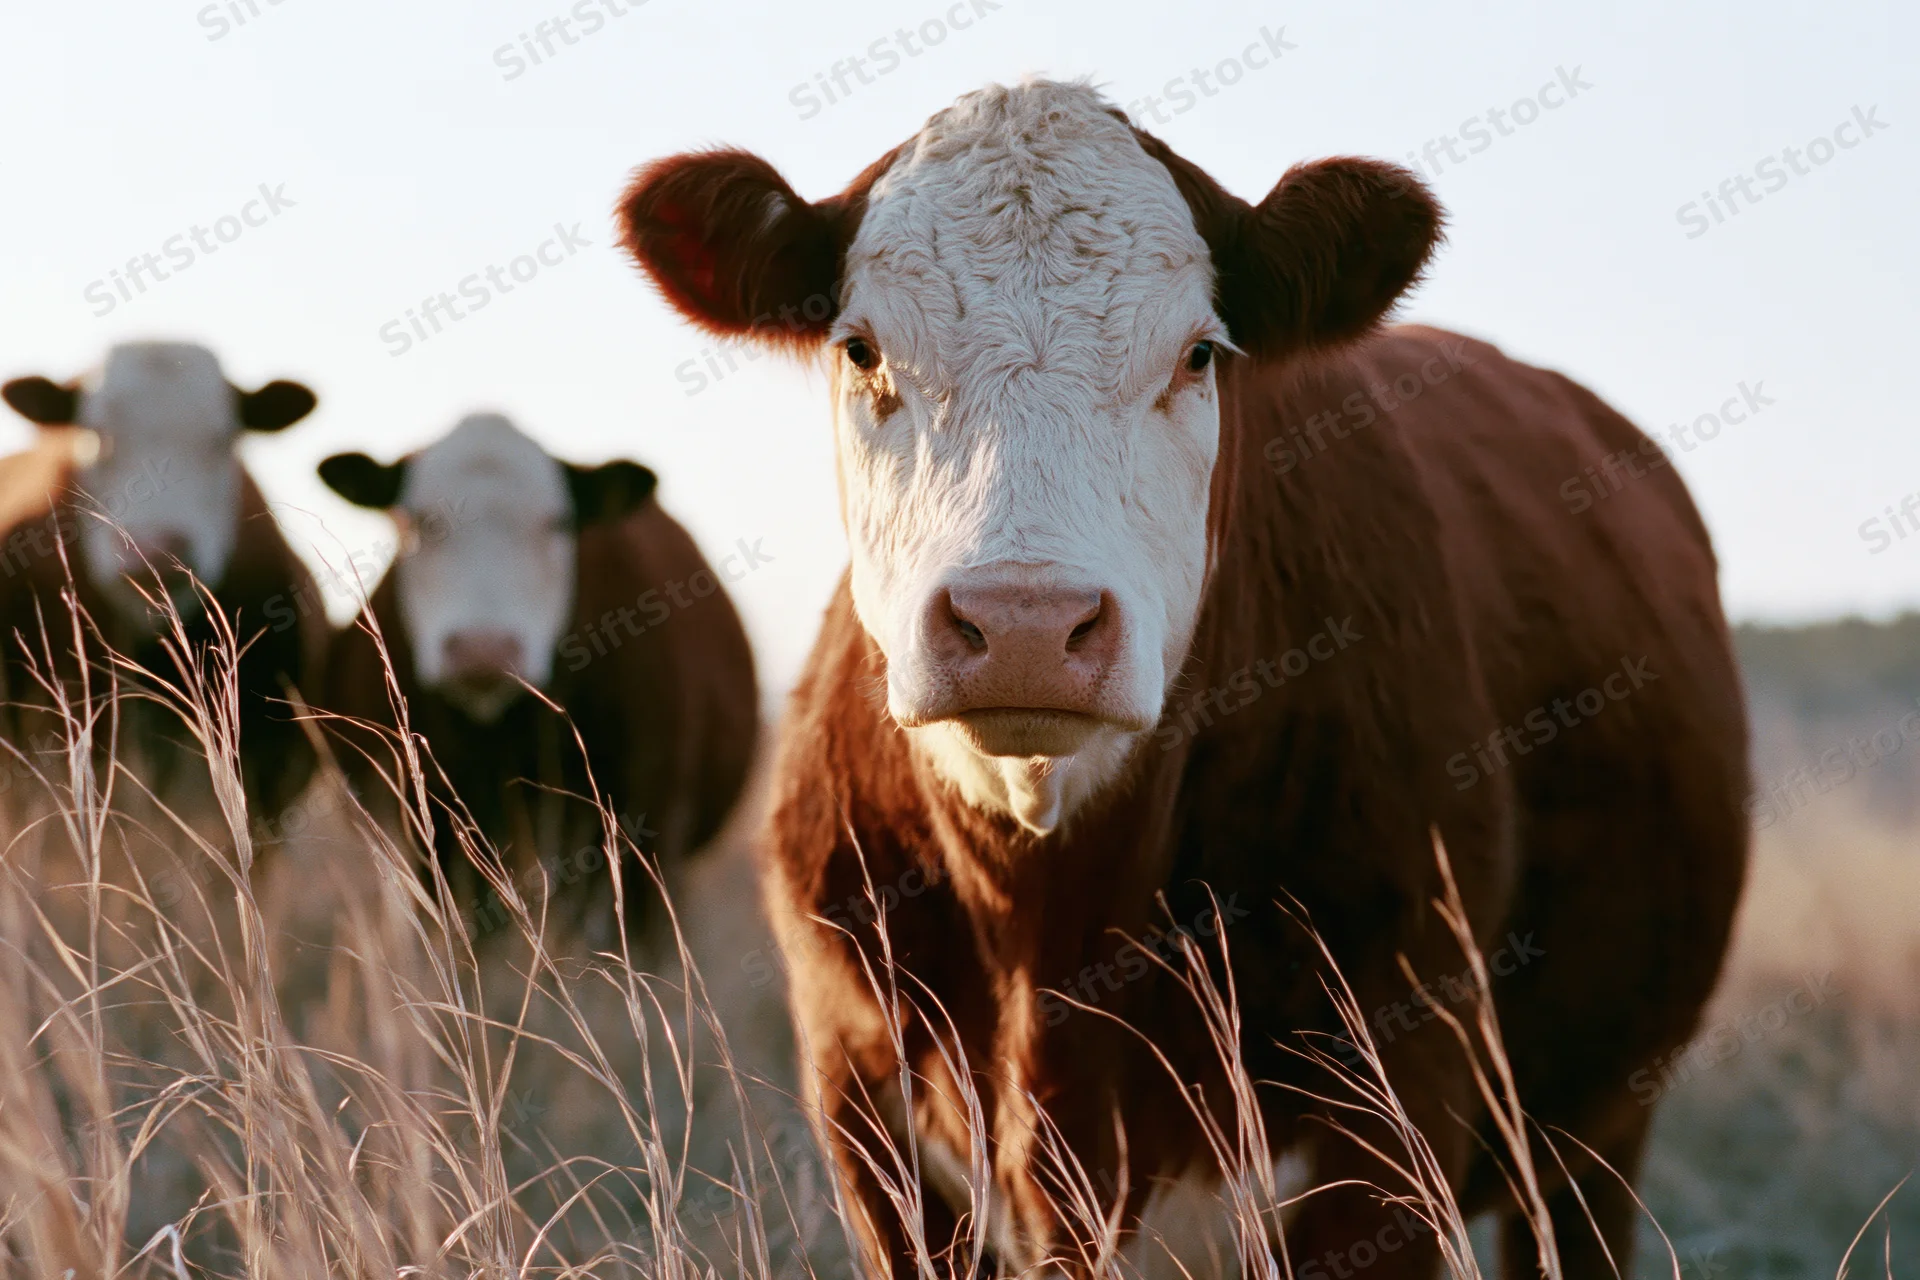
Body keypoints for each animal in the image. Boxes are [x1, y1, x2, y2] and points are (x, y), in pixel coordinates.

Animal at [614, 81, 1750, 1278]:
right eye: (862, 348)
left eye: (1200, 353)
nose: (1024, 623)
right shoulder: (867, 1108)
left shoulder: (1393, 1112)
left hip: (1598, 1132)